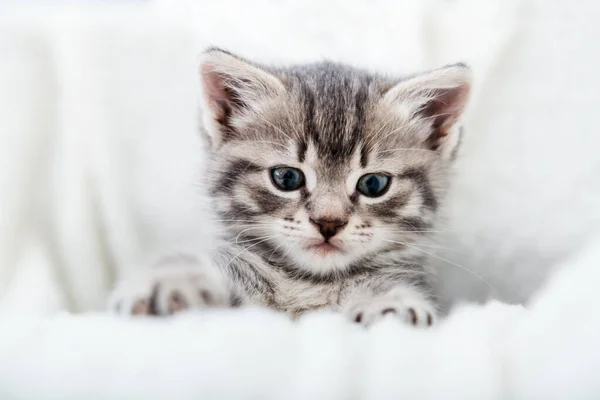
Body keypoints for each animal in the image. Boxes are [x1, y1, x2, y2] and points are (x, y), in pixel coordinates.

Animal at [110, 47, 472, 328]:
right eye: (286, 178)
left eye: (373, 184)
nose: (328, 222)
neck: (308, 283)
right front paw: (172, 279)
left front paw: (389, 302)